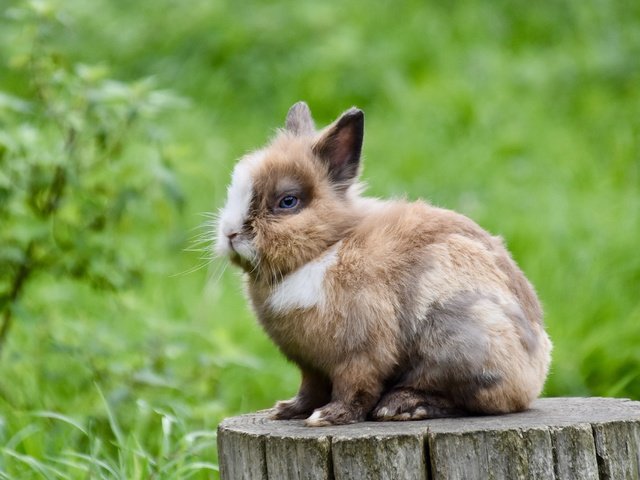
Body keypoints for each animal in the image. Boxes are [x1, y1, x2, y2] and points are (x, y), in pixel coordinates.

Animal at [214, 102, 552, 428]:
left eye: (288, 202)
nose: (231, 233)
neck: (327, 249)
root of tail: (536, 373)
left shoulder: (360, 353)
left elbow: (354, 388)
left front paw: (327, 418)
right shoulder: (310, 366)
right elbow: (310, 391)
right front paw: (286, 411)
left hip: (460, 339)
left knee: (468, 400)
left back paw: (401, 406)